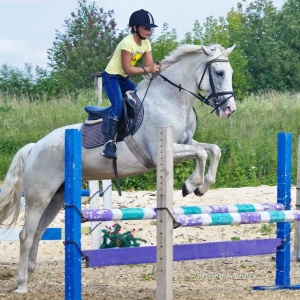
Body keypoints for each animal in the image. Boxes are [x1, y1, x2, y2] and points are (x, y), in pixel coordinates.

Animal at [0, 43, 236, 292]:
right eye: (219, 73)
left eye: (230, 73)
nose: (229, 109)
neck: (171, 100)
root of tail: (35, 147)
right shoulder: (164, 150)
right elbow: (202, 153)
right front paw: (191, 185)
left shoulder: (186, 143)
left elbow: (212, 150)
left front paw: (201, 186)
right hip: (39, 196)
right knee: (26, 234)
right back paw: (22, 284)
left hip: (56, 197)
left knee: (38, 231)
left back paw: (29, 273)